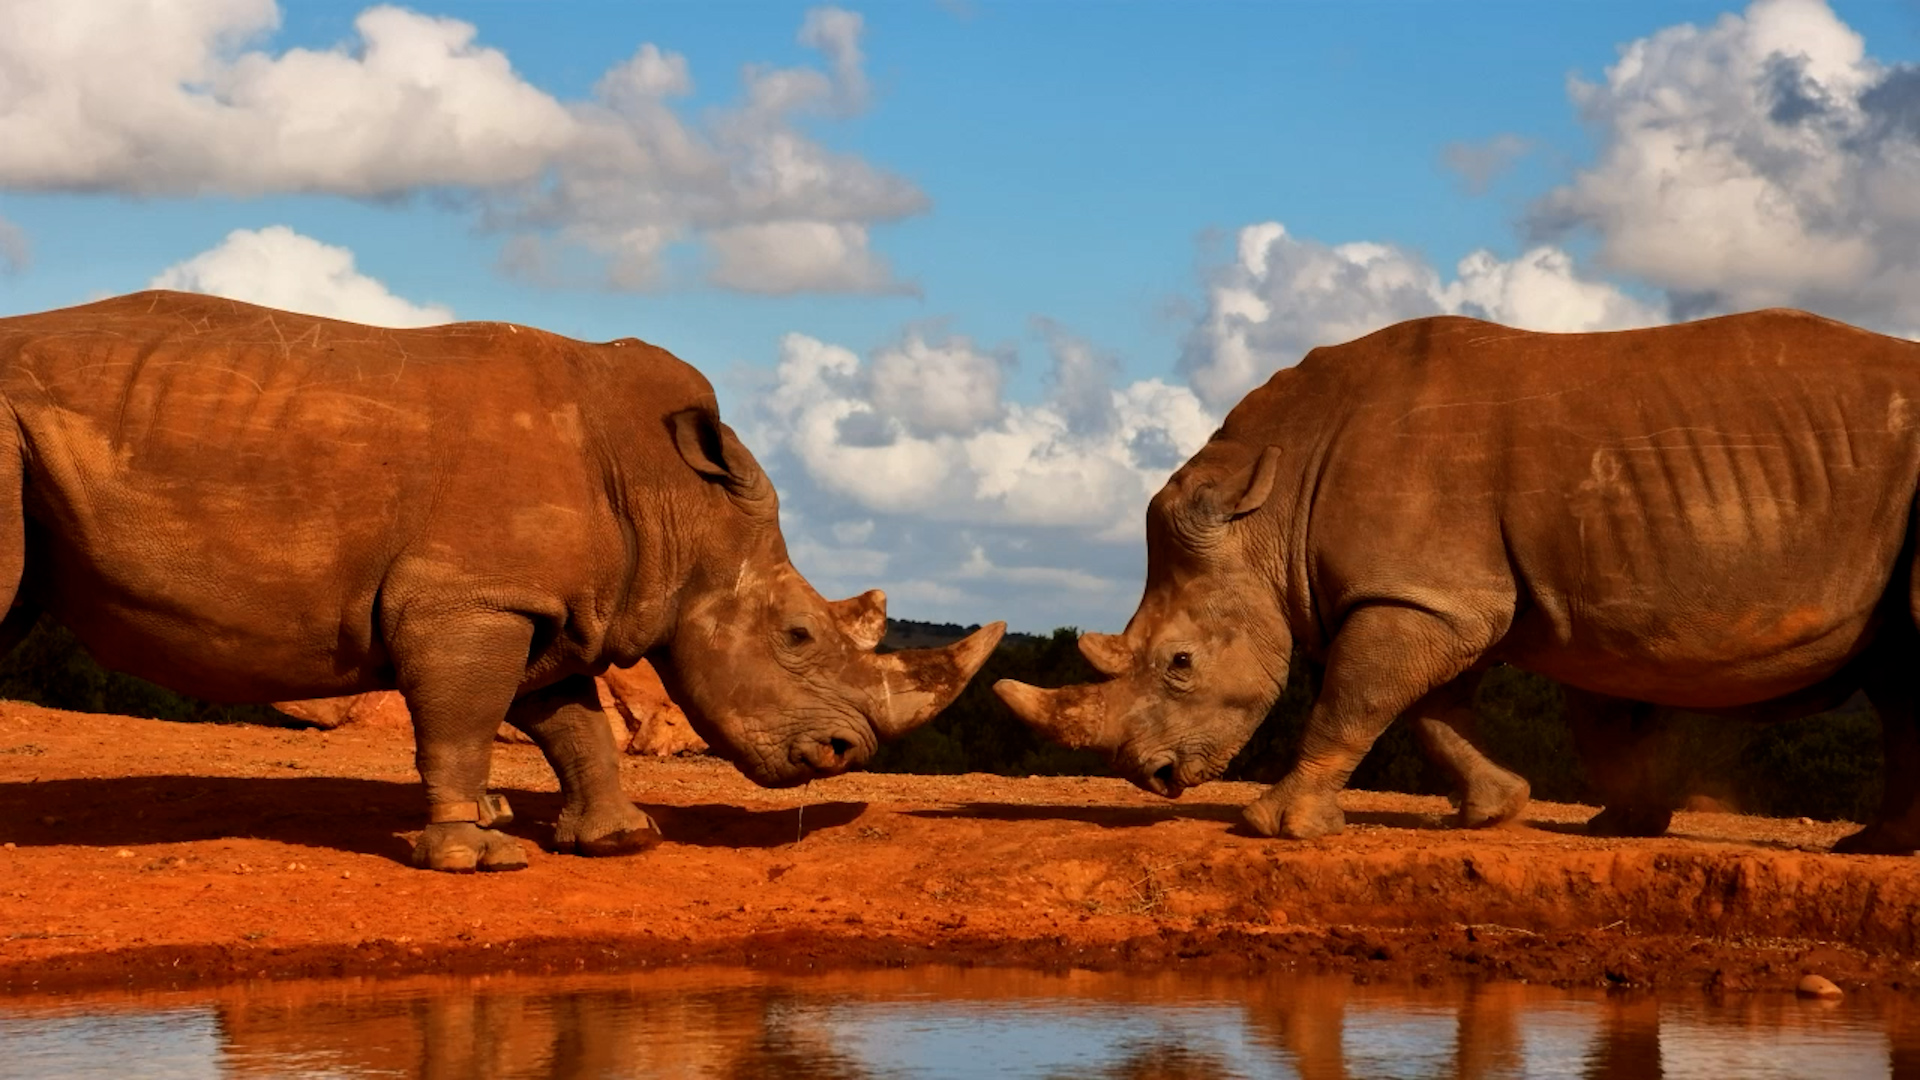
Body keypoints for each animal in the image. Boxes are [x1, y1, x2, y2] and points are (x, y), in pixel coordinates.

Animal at [0, 291, 1003, 871]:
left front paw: (623, 841)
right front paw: (471, 857)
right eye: (796, 636)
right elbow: (462, 723)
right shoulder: (469, 598)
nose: (843, 755)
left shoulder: (542, 603)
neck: (672, 500)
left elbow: (569, 721)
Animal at [996, 309, 1920, 855]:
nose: (1149, 776)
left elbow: (1354, 702)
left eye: (1180, 664)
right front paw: (1504, 812)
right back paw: (1870, 846)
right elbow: (1431, 713)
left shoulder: (1422, 591)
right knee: (1895, 675)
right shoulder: (1439, 592)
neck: (1269, 502)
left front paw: (1272, 827)